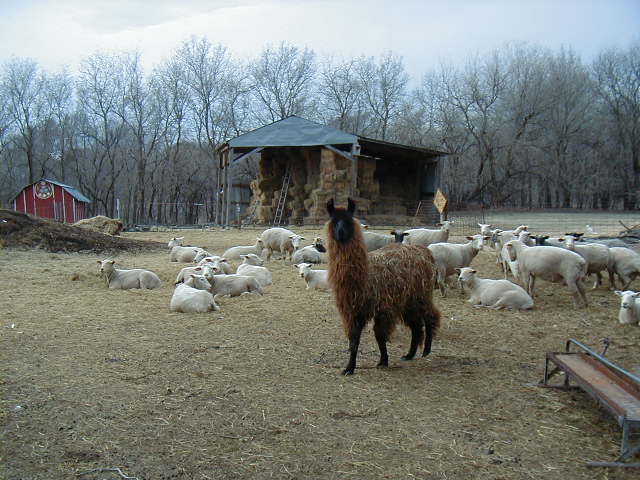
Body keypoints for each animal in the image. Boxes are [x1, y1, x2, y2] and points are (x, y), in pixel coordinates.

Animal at [328, 198, 442, 376]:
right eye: (334, 221)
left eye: (348, 221)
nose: (341, 233)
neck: (364, 277)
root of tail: (424, 251)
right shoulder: (353, 311)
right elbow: (354, 340)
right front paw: (349, 368)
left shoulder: (383, 307)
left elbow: (379, 335)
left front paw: (383, 361)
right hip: (408, 299)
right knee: (416, 325)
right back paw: (409, 354)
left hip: (421, 294)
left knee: (430, 316)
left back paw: (426, 350)